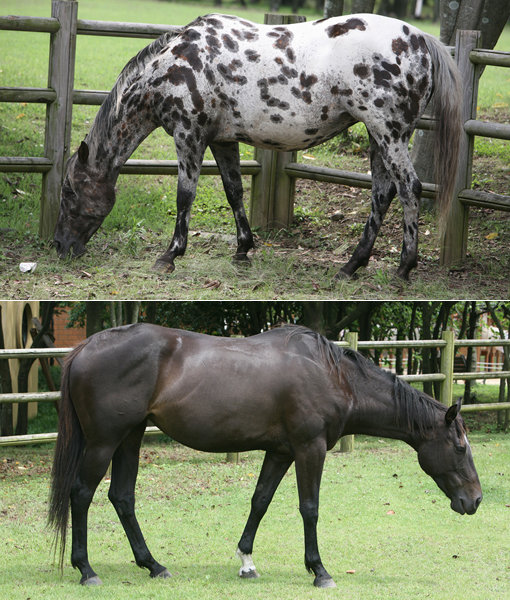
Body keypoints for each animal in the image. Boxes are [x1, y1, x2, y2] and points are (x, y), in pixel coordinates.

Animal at [48, 326, 482, 588]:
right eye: (460, 447)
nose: (475, 500)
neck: (333, 375)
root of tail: (86, 347)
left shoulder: (280, 452)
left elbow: (260, 501)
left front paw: (246, 561)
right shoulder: (309, 448)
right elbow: (310, 507)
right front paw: (319, 570)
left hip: (130, 438)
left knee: (122, 498)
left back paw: (153, 565)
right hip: (104, 442)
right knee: (81, 495)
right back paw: (86, 570)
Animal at [52, 11, 462, 278]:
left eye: (69, 192)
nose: (59, 246)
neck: (175, 64)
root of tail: (420, 39)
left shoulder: (189, 136)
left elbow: (185, 196)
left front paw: (169, 255)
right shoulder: (221, 141)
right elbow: (233, 191)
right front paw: (243, 248)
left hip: (388, 133)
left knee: (409, 188)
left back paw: (404, 267)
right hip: (380, 137)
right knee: (382, 193)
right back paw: (351, 265)